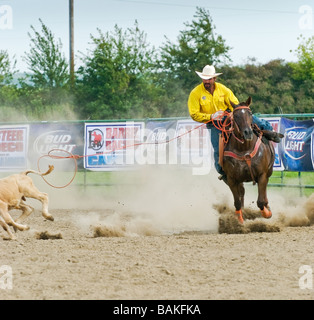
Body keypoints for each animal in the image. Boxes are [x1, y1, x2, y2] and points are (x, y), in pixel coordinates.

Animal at [221, 96, 274, 224]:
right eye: (235, 116)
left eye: (250, 113)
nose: (248, 132)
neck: (244, 149)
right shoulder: (231, 179)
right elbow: (237, 202)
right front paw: (239, 221)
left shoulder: (262, 175)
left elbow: (260, 201)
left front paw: (267, 214)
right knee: (242, 193)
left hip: (268, 173)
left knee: (263, 193)